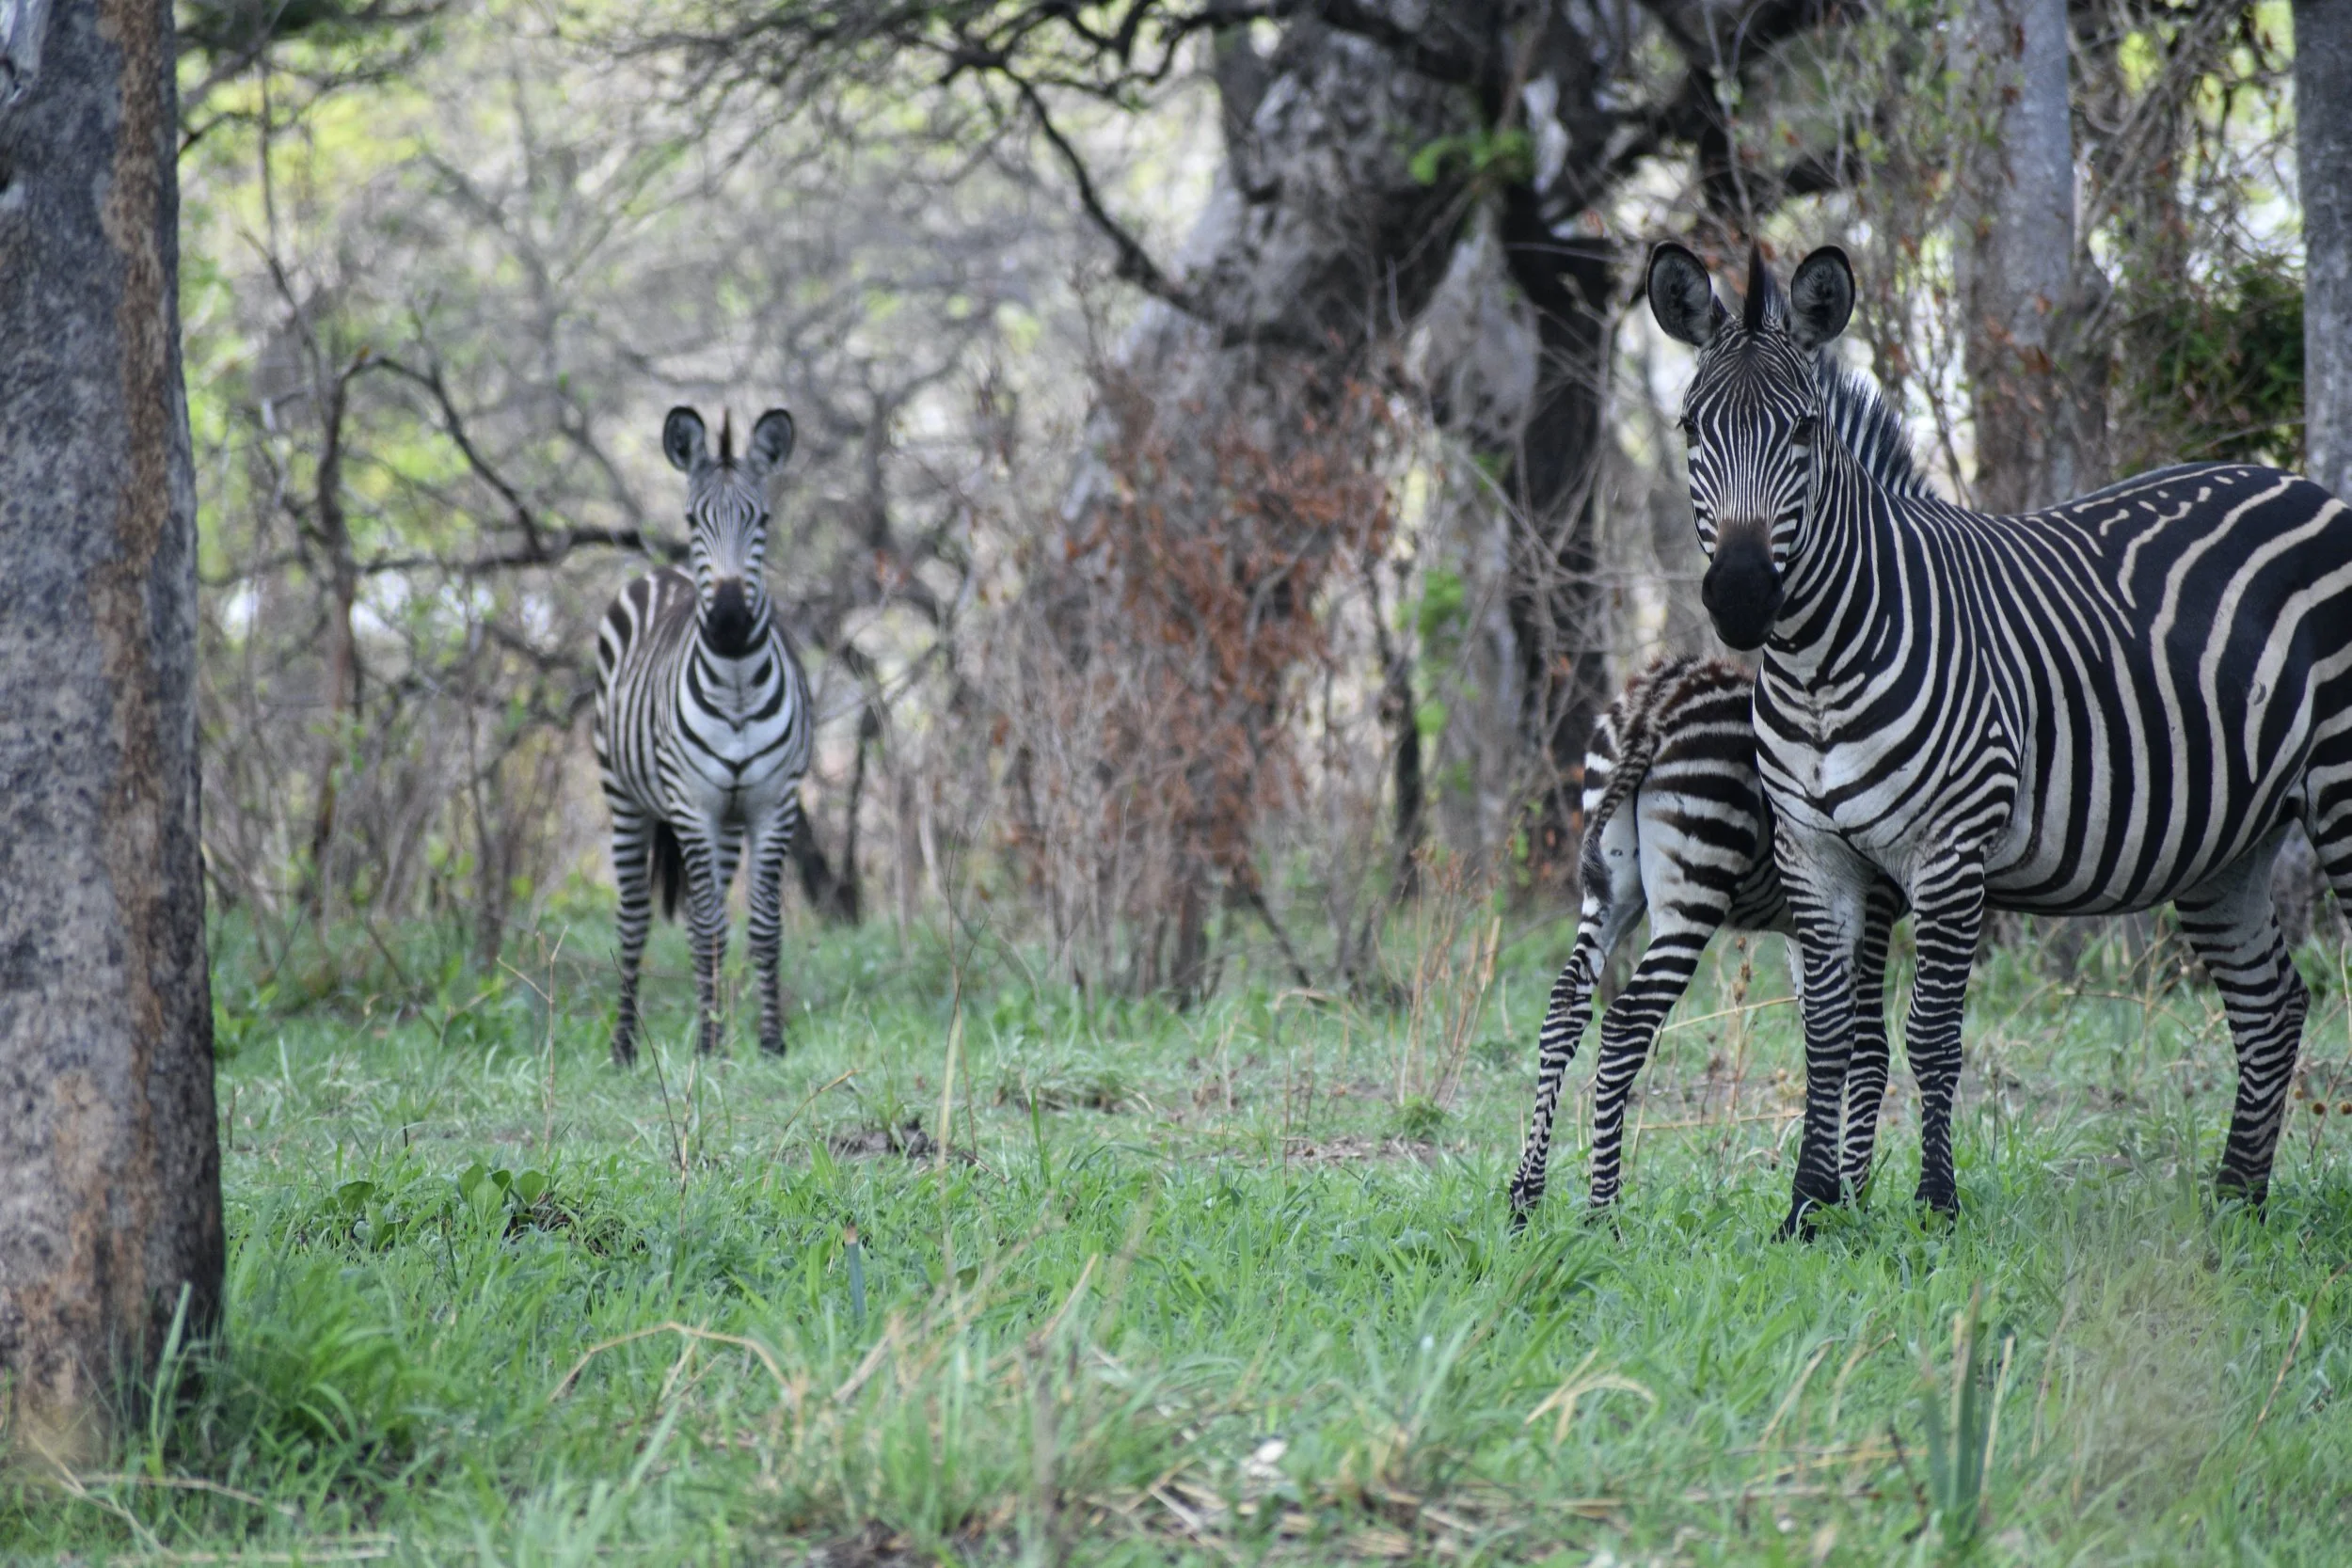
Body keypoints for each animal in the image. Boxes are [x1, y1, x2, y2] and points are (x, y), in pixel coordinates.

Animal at [594, 406, 814, 1064]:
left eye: (762, 519)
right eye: (694, 519)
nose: (730, 623)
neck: (737, 685)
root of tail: (663, 573)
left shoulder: (773, 805)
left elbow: (762, 927)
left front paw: (768, 1042)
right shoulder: (691, 806)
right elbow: (709, 928)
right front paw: (713, 1046)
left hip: (727, 822)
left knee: (700, 914)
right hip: (625, 797)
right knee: (637, 919)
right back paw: (625, 1045)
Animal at [1646, 241, 2352, 1236]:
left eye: (1806, 433)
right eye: (1689, 428)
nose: (1743, 596)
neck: (1818, 664)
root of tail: (2301, 484)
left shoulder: (1950, 850)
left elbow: (1932, 1037)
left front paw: (1935, 1207)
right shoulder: (1814, 851)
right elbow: (1827, 1036)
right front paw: (1809, 1211)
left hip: (2340, 786)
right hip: (2229, 842)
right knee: (2270, 1006)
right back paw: (2233, 1207)